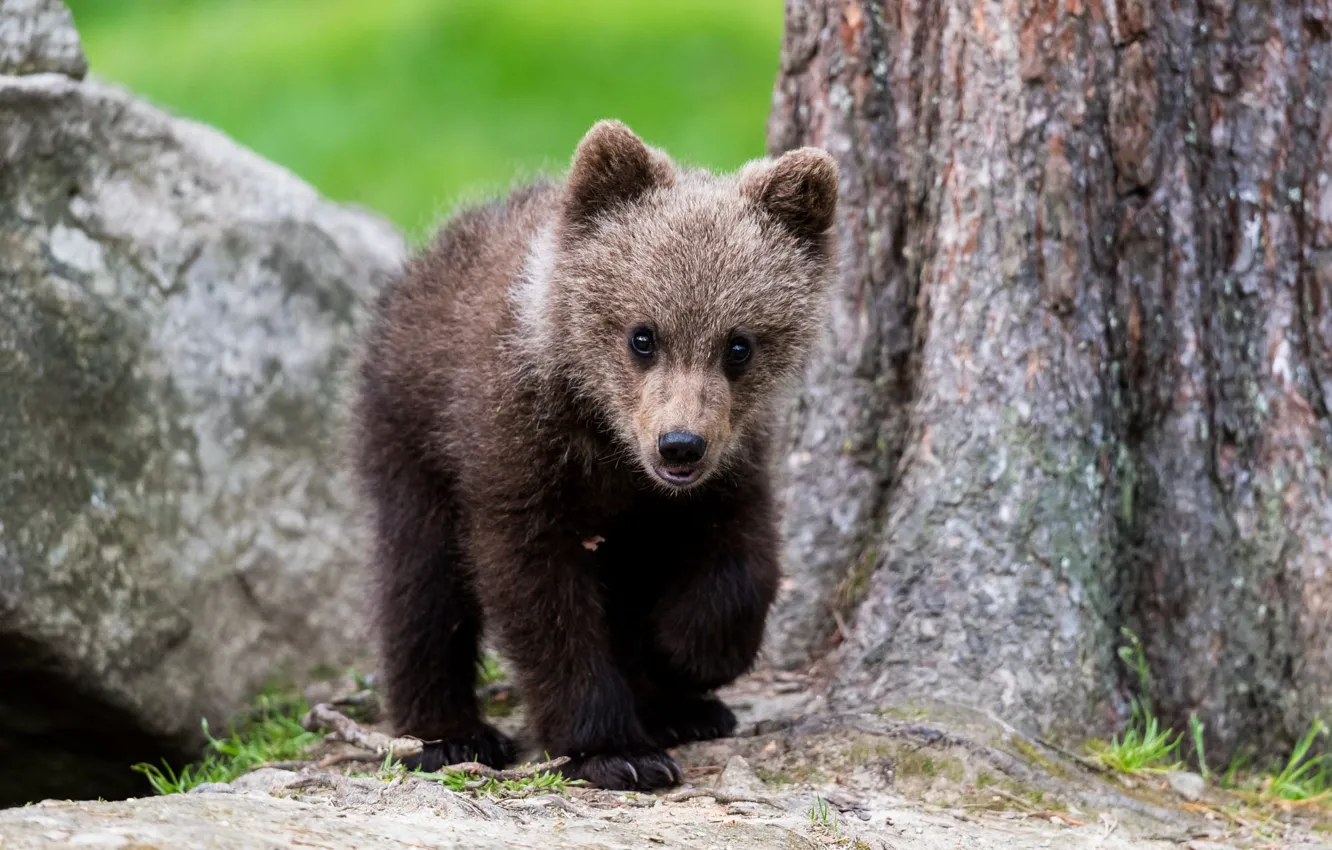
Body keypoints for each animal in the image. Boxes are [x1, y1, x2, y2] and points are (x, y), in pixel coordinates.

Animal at [350, 119, 838, 790]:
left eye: (738, 344)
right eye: (643, 335)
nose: (680, 445)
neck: (610, 446)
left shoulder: (731, 464)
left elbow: (744, 560)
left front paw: (681, 654)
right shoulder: (516, 456)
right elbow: (541, 604)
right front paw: (614, 750)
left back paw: (682, 709)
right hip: (411, 435)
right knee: (419, 585)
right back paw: (447, 734)